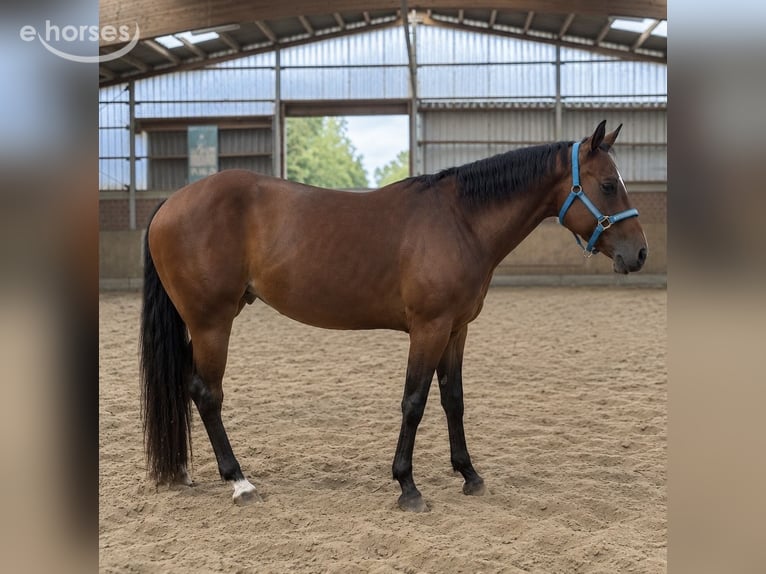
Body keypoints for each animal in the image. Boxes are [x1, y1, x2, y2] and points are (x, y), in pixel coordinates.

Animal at [140, 120, 647, 512]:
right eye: (608, 185)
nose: (639, 254)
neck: (460, 219)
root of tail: (171, 202)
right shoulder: (429, 328)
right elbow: (414, 402)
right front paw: (407, 486)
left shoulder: (456, 330)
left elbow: (453, 400)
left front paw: (469, 474)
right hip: (212, 322)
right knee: (206, 393)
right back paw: (240, 482)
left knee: (187, 386)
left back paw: (184, 470)